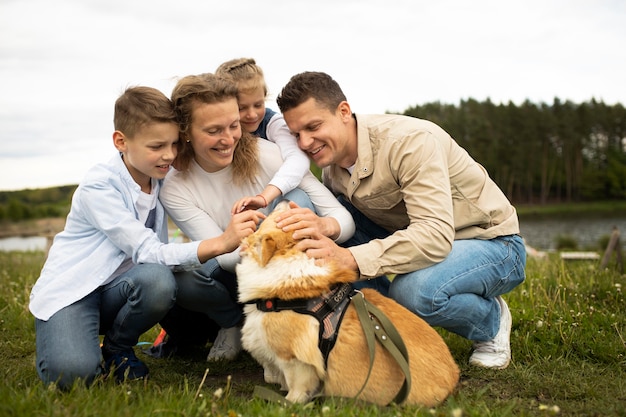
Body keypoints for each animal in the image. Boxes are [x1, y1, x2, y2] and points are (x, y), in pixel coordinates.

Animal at [236, 200, 456, 404]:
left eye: (278, 216)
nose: (284, 200)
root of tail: (453, 376)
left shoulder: (294, 359)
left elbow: (297, 384)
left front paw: (289, 403)